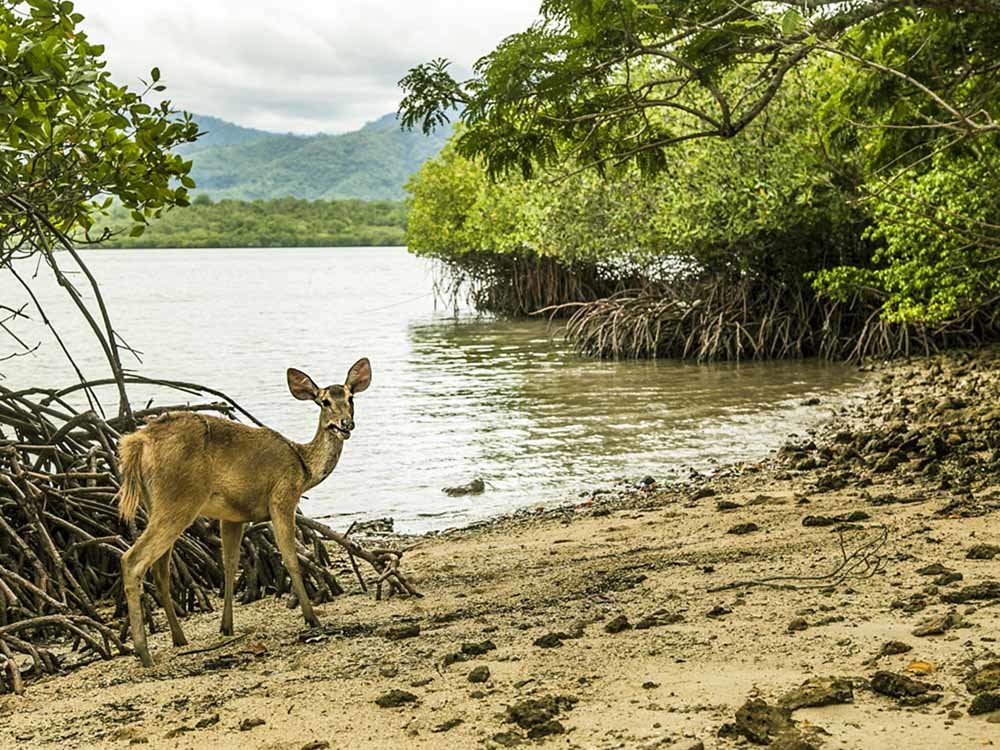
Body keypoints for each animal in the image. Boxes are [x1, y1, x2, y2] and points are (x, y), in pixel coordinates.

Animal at [114, 360, 372, 668]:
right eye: (324, 401)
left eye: (351, 398)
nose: (346, 424)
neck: (304, 467)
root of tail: (137, 443)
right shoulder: (282, 497)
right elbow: (290, 558)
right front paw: (312, 619)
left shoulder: (233, 516)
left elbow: (229, 564)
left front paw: (226, 626)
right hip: (179, 500)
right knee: (132, 560)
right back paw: (144, 652)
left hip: (154, 503)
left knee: (160, 568)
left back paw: (179, 638)